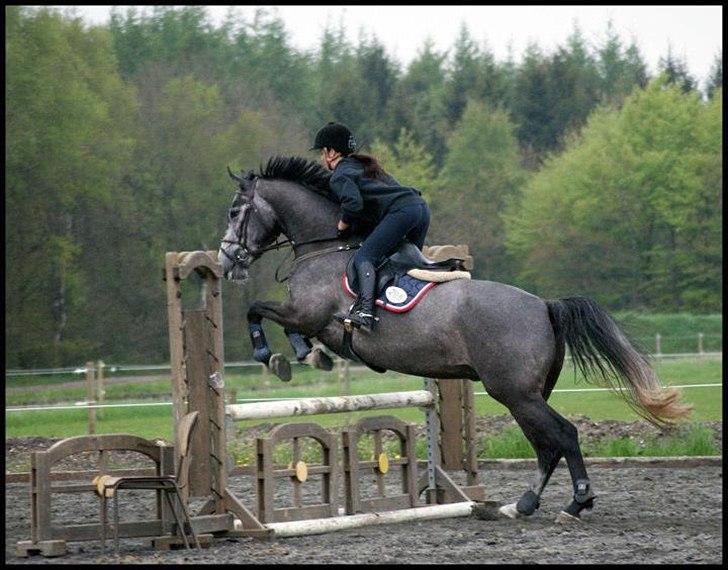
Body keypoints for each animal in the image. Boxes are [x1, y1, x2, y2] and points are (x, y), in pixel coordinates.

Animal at [216, 154, 688, 520]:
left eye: (236, 212)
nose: (225, 261)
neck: (327, 244)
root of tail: (545, 307)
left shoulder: (310, 314)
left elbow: (259, 310)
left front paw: (278, 357)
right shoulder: (308, 317)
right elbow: (283, 324)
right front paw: (307, 356)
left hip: (514, 392)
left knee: (563, 436)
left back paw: (575, 504)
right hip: (526, 394)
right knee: (546, 446)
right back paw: (522, 505)